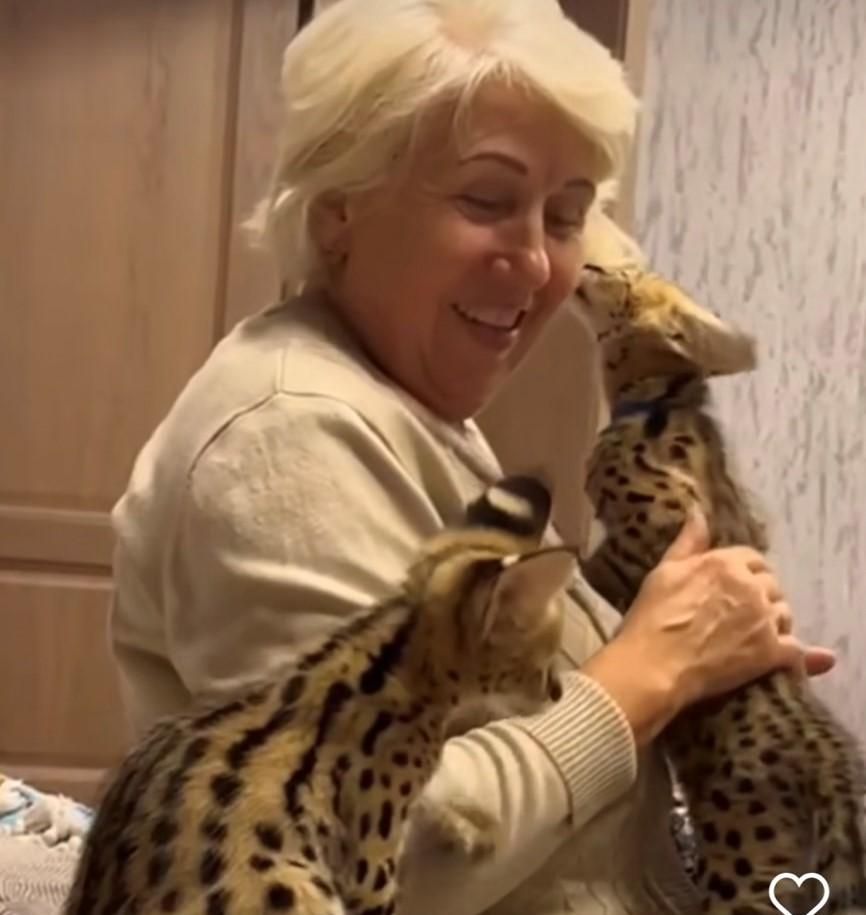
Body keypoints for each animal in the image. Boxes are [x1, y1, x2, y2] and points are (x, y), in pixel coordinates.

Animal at [572, 263, 866, 915]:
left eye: (625, 279)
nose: (587, 265)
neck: (658, 399)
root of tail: (836, 765)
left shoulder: (651, 536)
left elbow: (593, 560)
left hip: (745, 871)